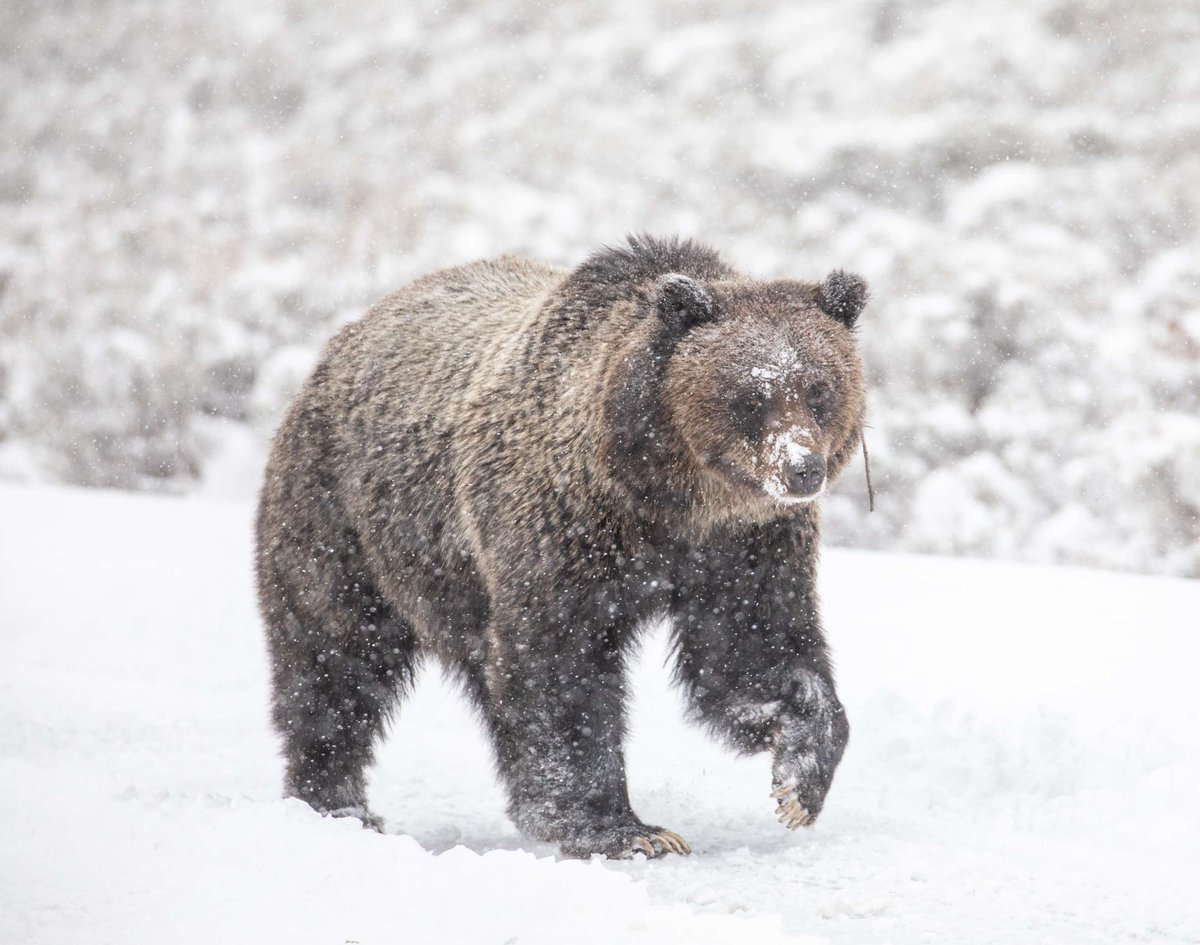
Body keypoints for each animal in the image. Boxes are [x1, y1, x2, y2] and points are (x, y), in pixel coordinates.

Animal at [258, 233, 868, 858]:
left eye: (820, 390)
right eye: (751, 395)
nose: (802, 468)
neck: (669, 503)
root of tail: (345, 337)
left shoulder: (747, 548)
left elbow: (756, 650)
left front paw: (798, 778)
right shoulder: (565, 531)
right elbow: (562, 668)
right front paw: (621, 828)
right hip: (347, 522)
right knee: (334, 660)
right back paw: (337, 803)